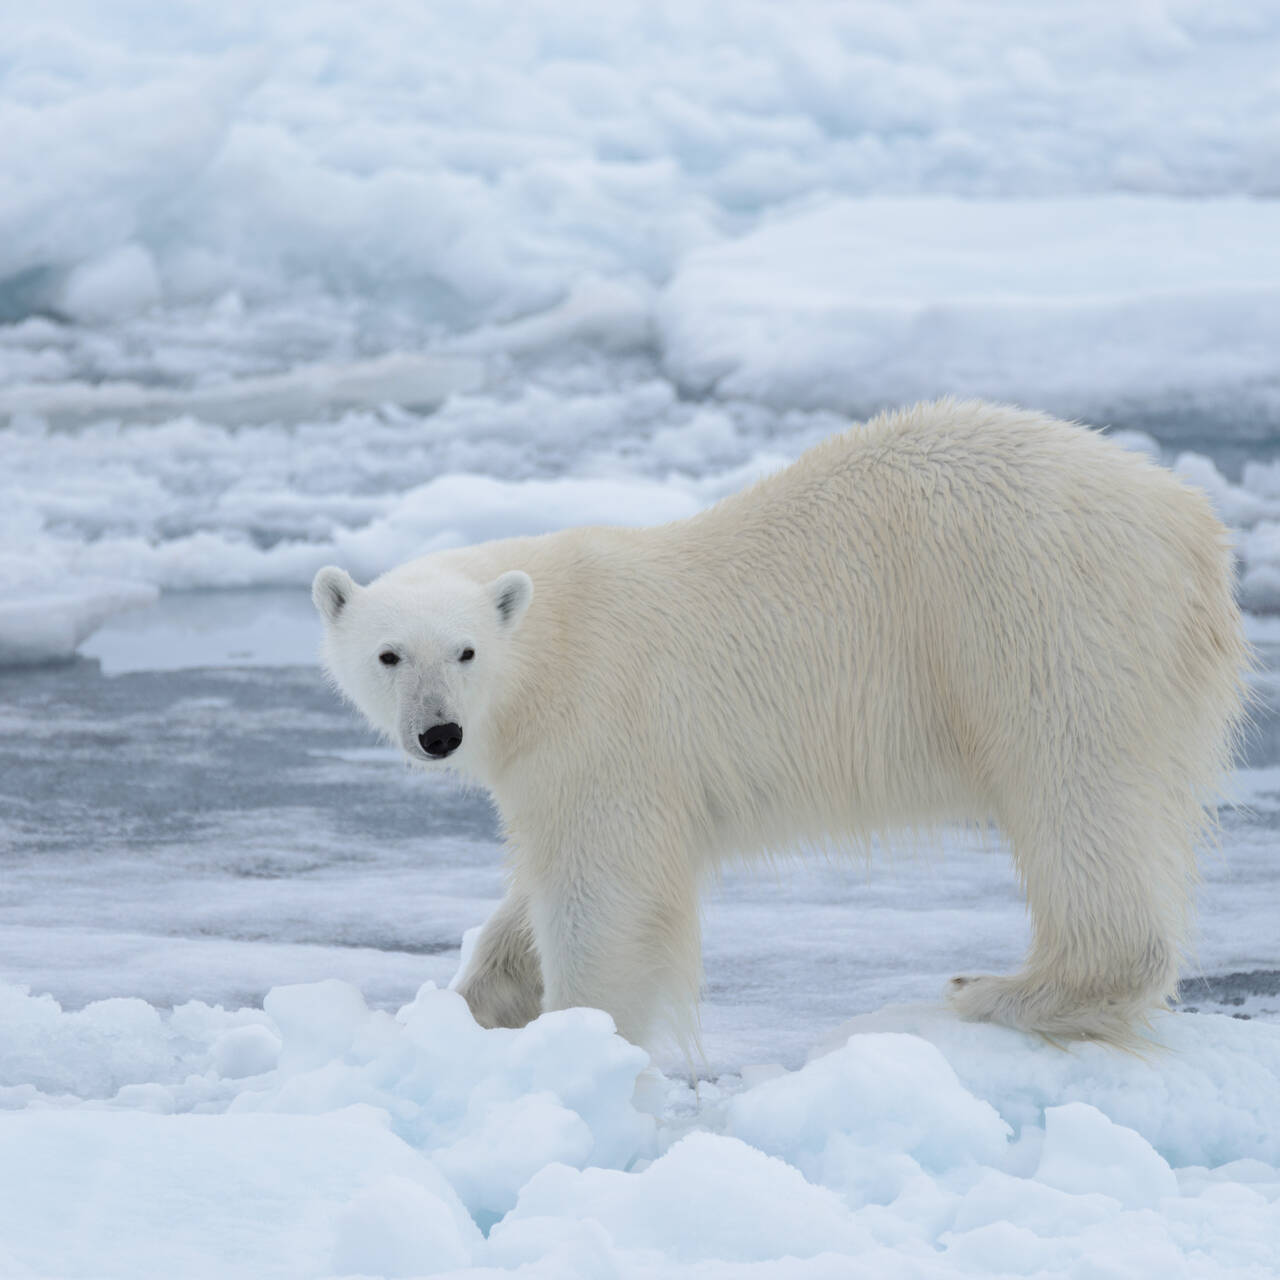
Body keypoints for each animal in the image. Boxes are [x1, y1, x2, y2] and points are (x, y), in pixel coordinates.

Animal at [312, 399, 1249, 1049]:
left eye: (465, 652)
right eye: (390, 655)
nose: (438, 734)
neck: (551, 644)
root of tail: (1192, 526)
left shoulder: (606, 723)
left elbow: (602, 889)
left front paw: (579, 1037)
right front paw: (479, 1002)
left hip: (1041, 615)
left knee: (1073, 788)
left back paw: (996, 990)